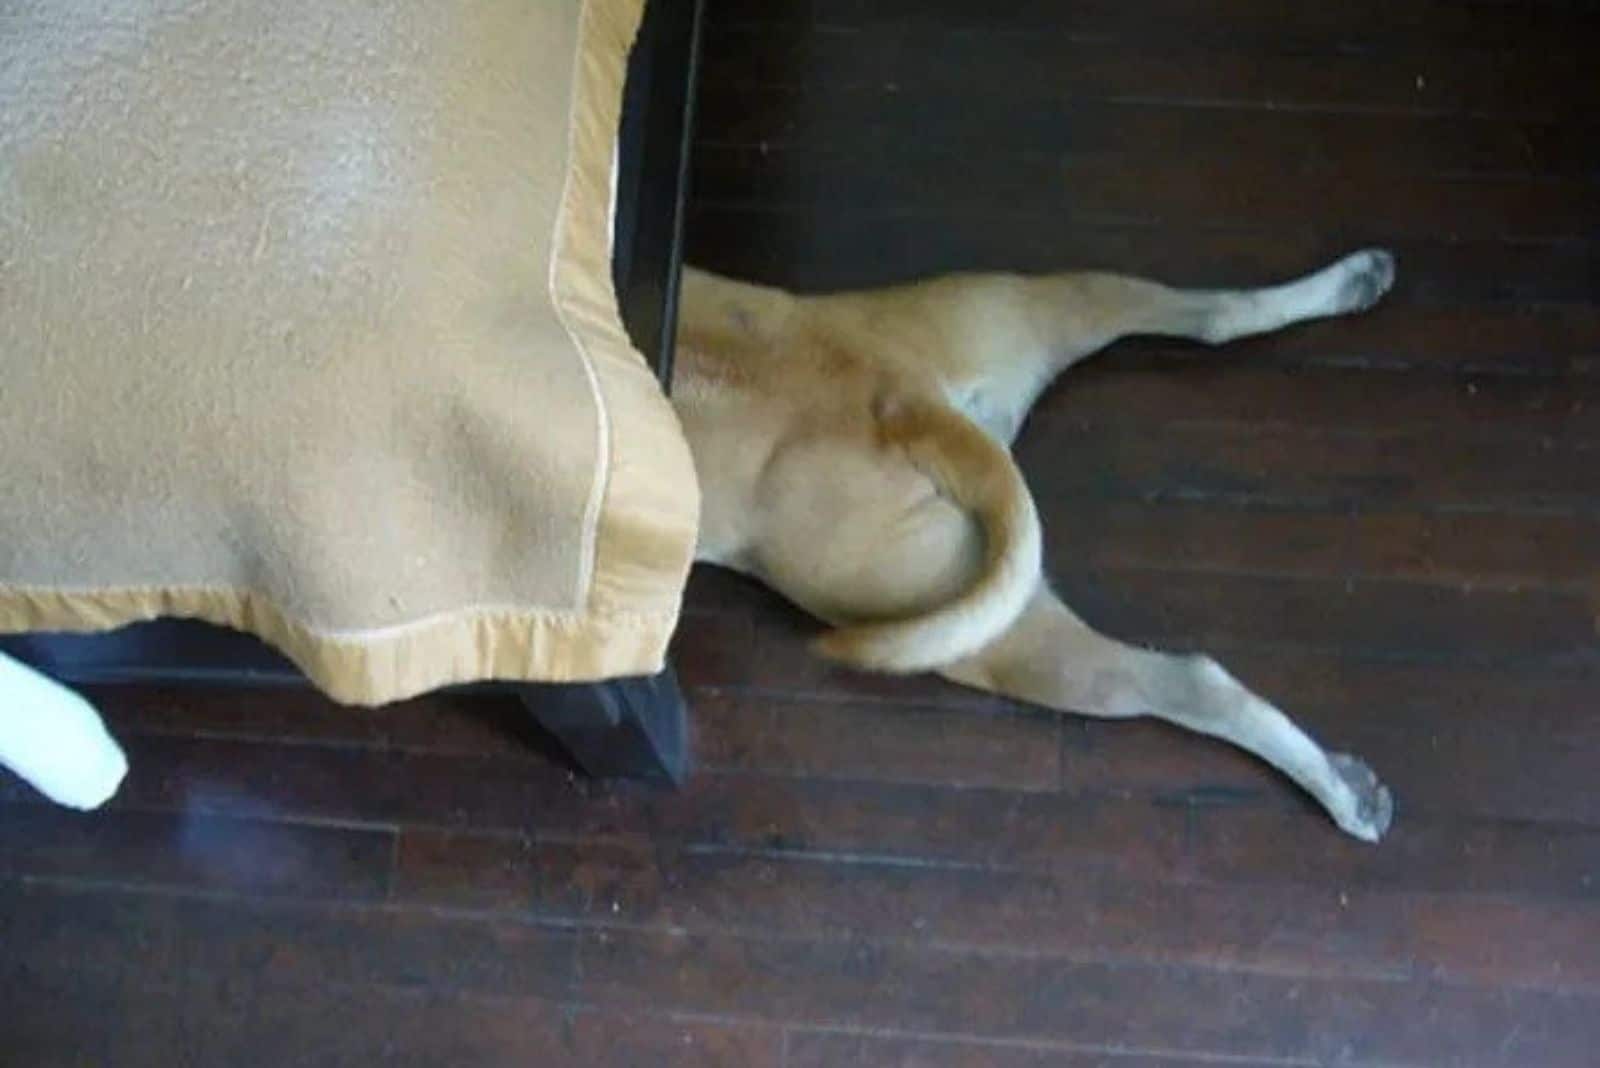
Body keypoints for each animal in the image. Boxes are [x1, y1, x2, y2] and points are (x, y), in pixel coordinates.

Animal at [675, 251, 1401, 844]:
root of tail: (900, 400)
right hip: (1021, 304)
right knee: (1208, 313)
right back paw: (1351, 280)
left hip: (953, 622)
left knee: (1179, 683)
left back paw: (1342, 794)